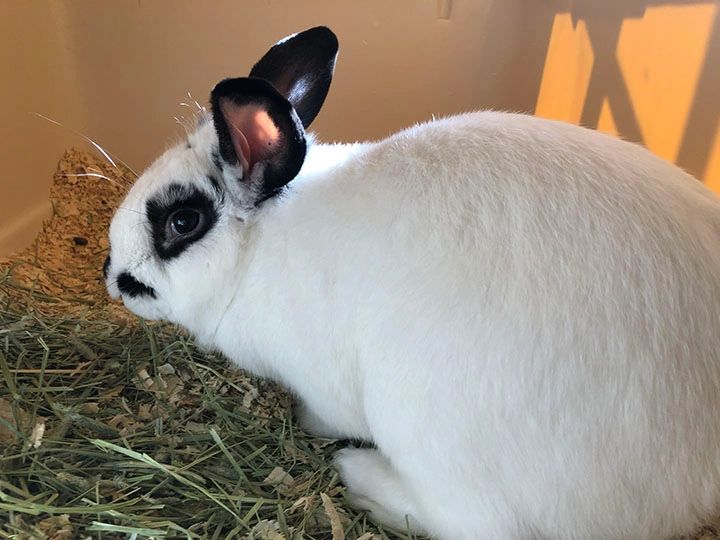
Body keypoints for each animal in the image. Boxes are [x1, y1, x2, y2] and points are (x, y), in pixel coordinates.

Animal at [104, 26, 720, 540]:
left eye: (183, 221)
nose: (113, 279)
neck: (257, 249)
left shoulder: (323, 385)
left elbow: (325, 414)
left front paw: (306, 425)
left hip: (431, 436)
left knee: (467, 522)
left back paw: (358, 474)